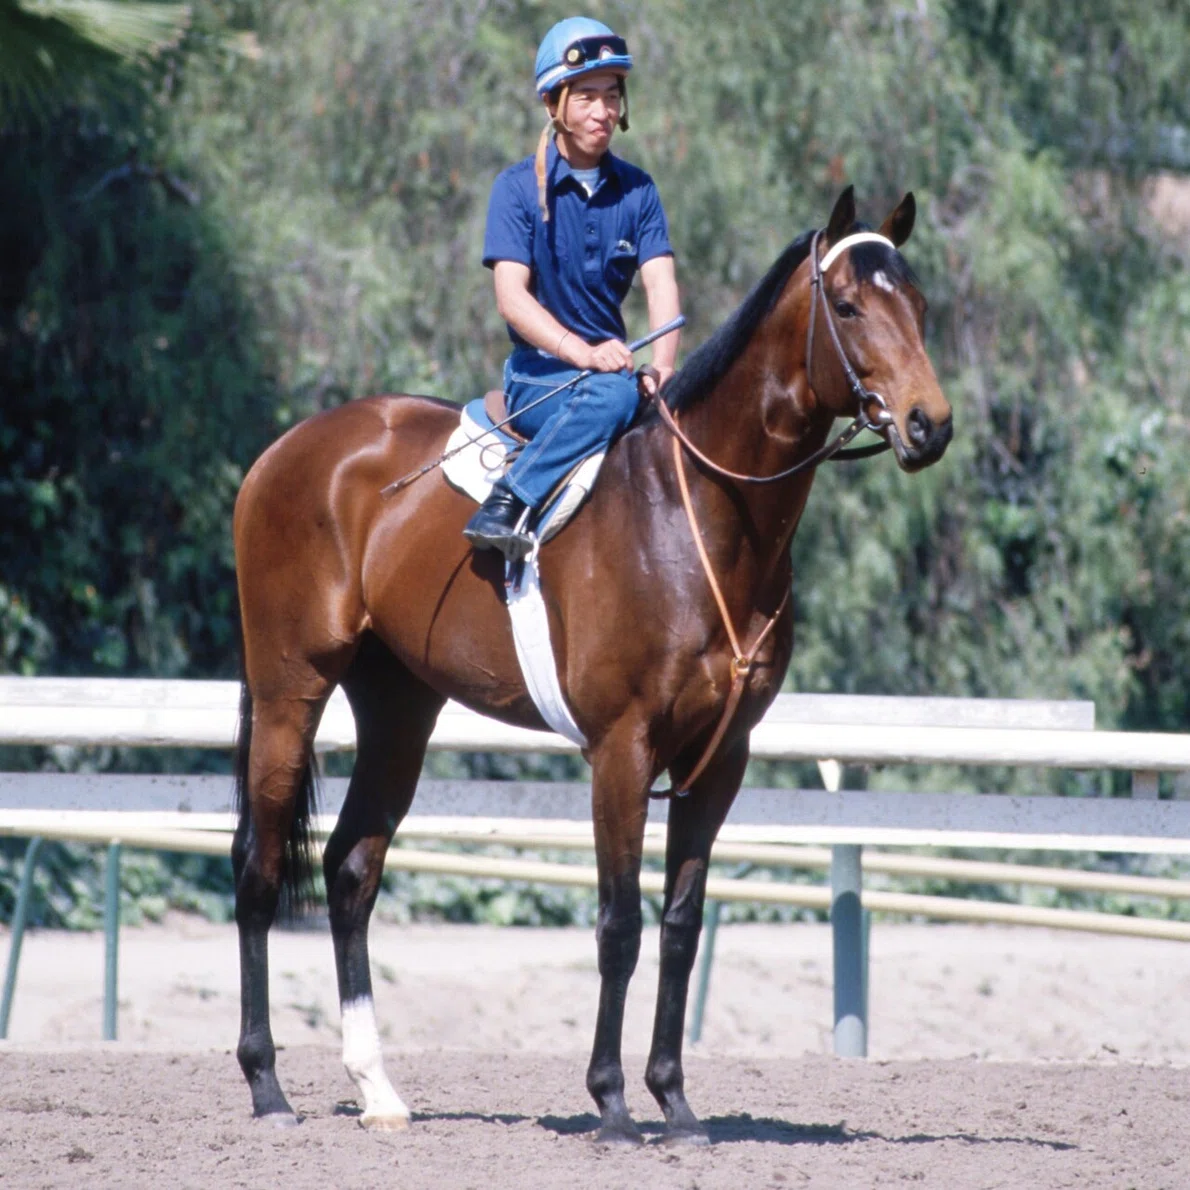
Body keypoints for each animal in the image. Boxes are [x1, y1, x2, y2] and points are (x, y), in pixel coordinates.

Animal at [230, 185, 953, 1144]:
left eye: (919, 305)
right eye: (845, 306)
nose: (929, 424)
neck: (695, 515)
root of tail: (285, 453)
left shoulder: (719, 761)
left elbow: (680, 923)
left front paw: (674, 1099)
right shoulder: (622, 750)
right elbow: (618, 923)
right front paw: (611, 1100)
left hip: (399, 712)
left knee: (351, 872)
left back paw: (377, 1088)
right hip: (290, 692)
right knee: (259, 871)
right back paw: (267, 1085)